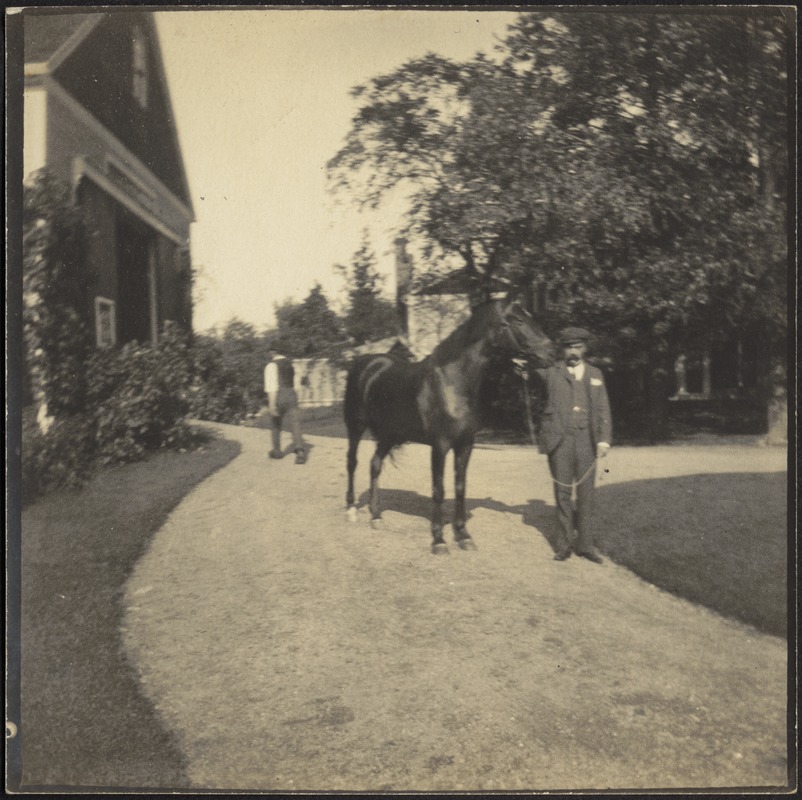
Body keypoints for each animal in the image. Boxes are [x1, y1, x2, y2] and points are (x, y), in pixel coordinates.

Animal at [340, 296, 552, 552]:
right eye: (519, 320)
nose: (551, 352)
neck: (452, 383)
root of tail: (365, 364)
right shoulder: (440, 446)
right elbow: (438, 489)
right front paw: (439, 540)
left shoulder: (465, 445)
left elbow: (460, 487)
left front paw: (463, 536)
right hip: (355, 427)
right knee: (352, 462)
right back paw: (351, 510)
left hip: (389, 435)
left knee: (375, 465)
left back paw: (376, 516)